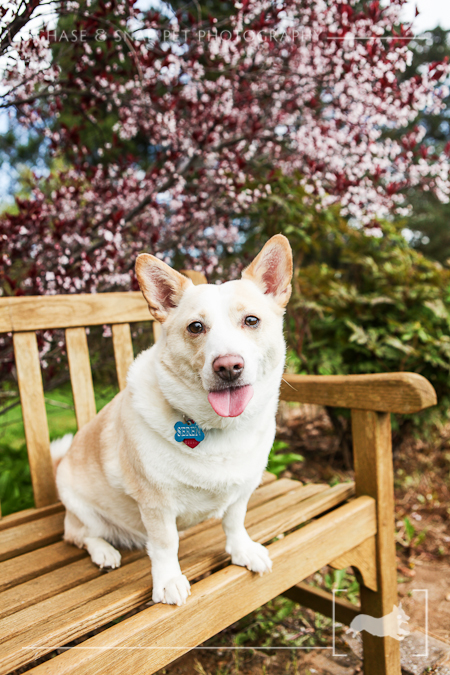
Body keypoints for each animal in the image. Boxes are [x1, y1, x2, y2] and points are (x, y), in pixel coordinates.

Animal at [52, 234, 294, 608]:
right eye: (196, 327)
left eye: (251, 321)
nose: (228, 366)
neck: (217, 428)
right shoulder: (156, 504)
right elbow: (166, 544)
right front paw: (167, 581)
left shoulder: (243, 490)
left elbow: (235, 522)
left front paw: (242, 551)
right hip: (79, 505)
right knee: (81, 535)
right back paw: (105, 552)